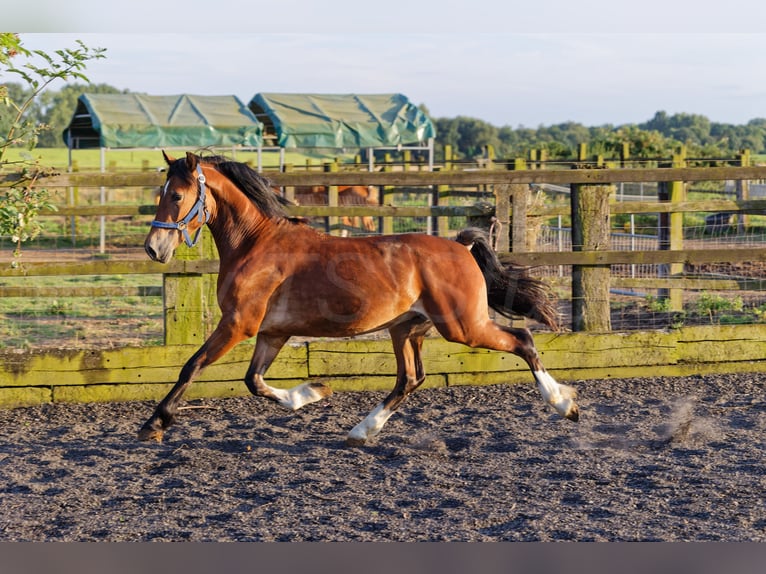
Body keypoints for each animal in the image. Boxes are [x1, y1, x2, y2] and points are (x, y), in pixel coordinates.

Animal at [140, 152, 584, 446]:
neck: (257, 244)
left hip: (463, 327)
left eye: (176, 196)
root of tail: (460, 247)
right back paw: (361, 431)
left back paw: (564, 404)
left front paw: (155, 424)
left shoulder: (237, 324)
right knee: (410, 379)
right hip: (406, 329)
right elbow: (254, 381)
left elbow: (192, 366)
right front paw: (312, 392)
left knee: (523, 340)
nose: (153, 248)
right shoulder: (271, 333)